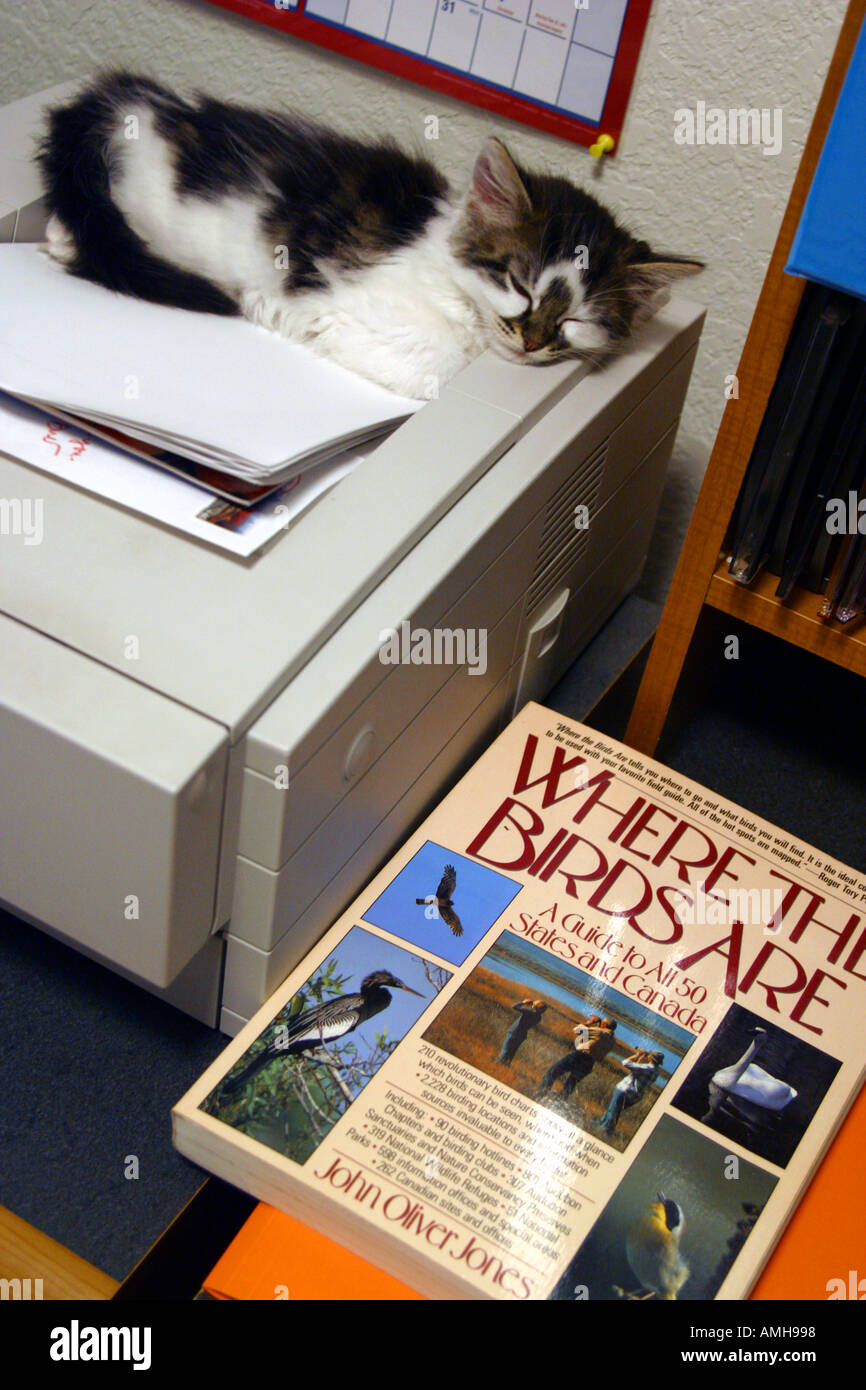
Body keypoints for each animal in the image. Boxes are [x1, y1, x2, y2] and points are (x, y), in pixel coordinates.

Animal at [40, 74, 706, 400]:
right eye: (517, 283)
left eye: (576, 320)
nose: (533, 341)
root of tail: (133, 102)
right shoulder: (355, 309)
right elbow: (436, 365)